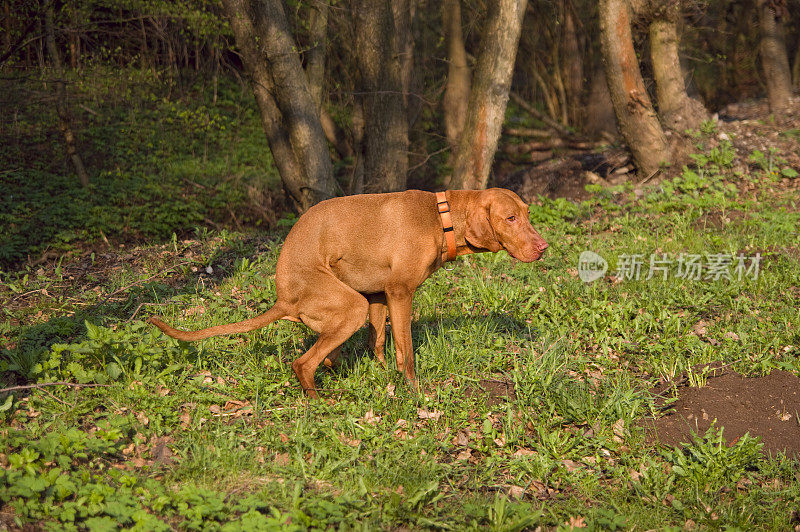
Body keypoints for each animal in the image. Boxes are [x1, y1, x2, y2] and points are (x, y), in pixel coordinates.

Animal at [151, 189, 548, 396]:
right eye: (511, 218)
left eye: (527, 213)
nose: (544, 247)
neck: (441, 217)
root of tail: (282, 298)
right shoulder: (400, 292)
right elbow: (406, 350)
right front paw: (414, 391)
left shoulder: (378, 296)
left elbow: (379, 342)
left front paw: (381, 373)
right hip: (350, 306)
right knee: (304, 363)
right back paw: (316, 403)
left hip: (351, 307)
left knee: (326, 356)